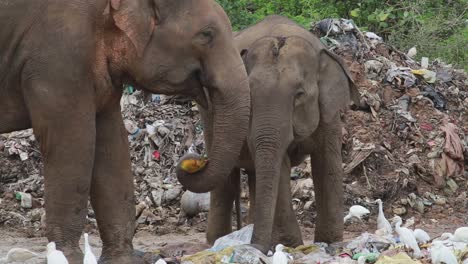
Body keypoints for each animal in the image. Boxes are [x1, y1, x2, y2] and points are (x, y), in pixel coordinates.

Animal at [0, 1, 250, 262]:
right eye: (206, 34)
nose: (196, 159)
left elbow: (112, 145)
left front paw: (121, 259)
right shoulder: (57, 57)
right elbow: (72, 145)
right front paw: (66, 257)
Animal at [177, 15, 360, 253]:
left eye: (299, 94)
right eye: (250, 94)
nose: (194, 160)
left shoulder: (328, 112)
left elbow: (326, 163)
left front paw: (330, 242)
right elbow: (279, 164)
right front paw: (290, 245)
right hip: (209, 113)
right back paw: (218, 239)